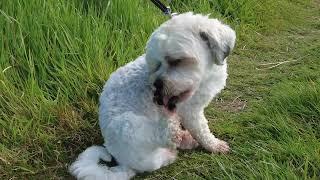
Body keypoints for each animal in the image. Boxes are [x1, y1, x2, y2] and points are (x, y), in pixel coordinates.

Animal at [69, 11, 235, 179]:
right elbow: (202, 130)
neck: (205, 77)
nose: (156, 86)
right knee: (166, 136)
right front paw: (214, 145)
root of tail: (123, 162)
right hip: (128, 125)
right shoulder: (190, 111)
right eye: (157, 64)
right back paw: (174, 132)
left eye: (176, 61)